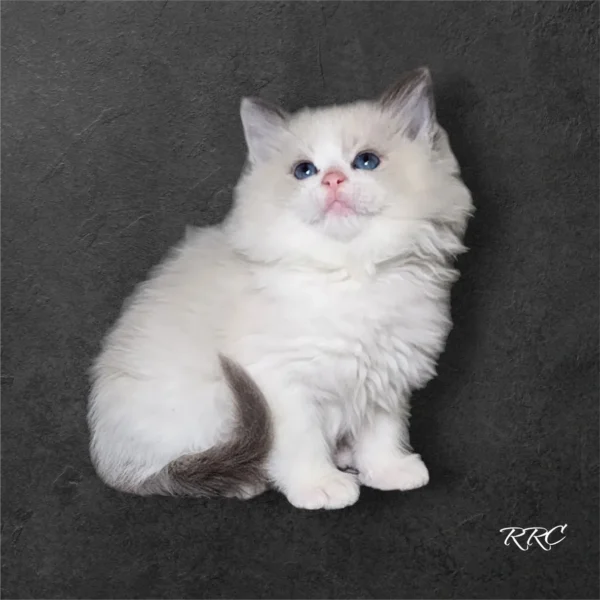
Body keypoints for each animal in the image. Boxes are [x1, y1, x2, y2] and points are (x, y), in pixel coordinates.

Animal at [89, 70, 474, 510]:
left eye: (366, 162)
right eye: (304, 170)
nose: (333, 179)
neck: (350, 273)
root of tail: (107, 457)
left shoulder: (386, 372)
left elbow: (382, 433)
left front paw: (388, 470)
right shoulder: (280, 383)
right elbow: (301, 442)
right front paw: (319, 485)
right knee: (174, 470)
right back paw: (244, 481)